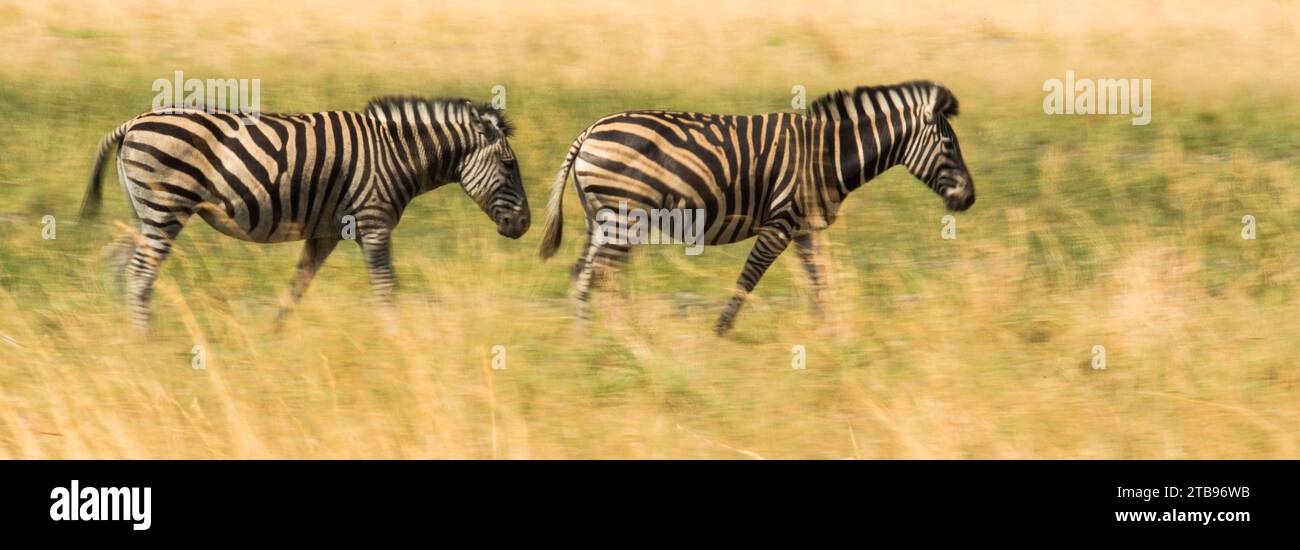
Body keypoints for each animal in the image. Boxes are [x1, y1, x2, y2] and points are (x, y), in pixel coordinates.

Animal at [82, 95, 527, 331]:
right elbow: (386, 285)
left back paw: (124, 337)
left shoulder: (326, 231)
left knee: (119, 261)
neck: (397, 154)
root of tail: (133, 121)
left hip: (147, 212)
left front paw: (273, 336)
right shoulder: (374, 220)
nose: (525, 225)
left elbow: (298, 284)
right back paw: (146, 340)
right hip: (166, 207)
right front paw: (395, 338)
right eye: (509, 165)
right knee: (141, 273)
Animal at [538, 79, 977, 332]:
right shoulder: (779, 224)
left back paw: (595, 344)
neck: (826, 154)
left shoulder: (804, 228)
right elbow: (748, 279)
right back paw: (618, 344)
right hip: (624, 217)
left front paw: (830, 336)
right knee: (599, 277)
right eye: (949, 145)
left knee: (585, 275)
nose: (970, 198)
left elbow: (819, 282)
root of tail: (589, 130)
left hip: (602, 218)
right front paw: (720, 333)